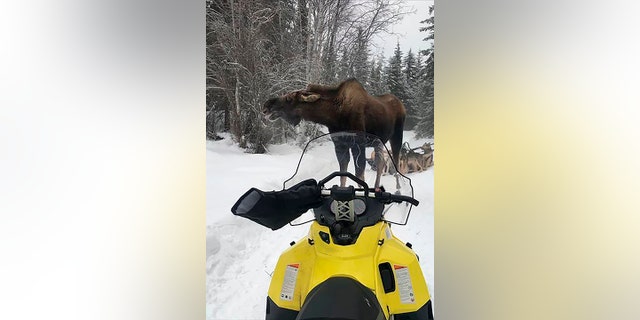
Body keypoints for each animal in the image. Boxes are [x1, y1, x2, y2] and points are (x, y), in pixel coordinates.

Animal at [262, 78, 404, 189]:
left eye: (289, 98)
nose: (266, 106)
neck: (334, 114)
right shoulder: (340, 145)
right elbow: (343, 175)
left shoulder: (358, 145)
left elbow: (359, 177)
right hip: (378, 142)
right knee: (380, 163)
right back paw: (377, 187)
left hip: (396, 137)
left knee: (395, 162)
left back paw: (398, 187)